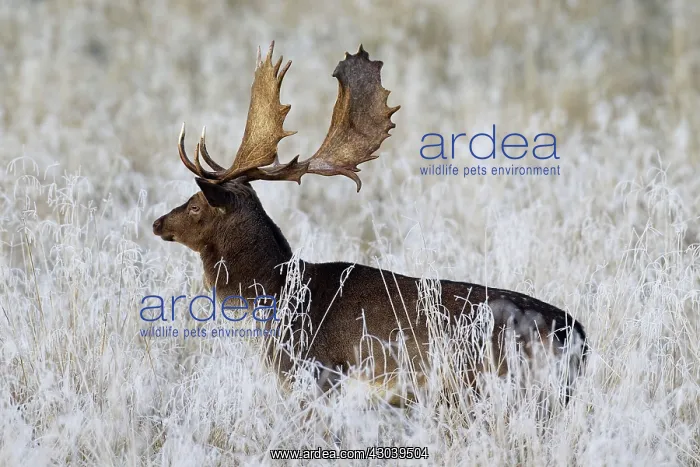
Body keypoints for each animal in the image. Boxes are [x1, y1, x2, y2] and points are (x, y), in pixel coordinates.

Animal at [152, 41, 588, 408]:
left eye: (195, 205)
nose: (157, 222)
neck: (277, 296)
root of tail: (577, 335)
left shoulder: (314, 373)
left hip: (499, 383)